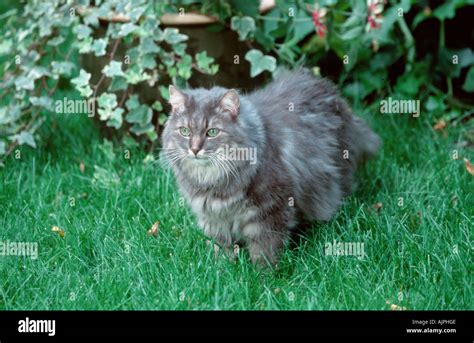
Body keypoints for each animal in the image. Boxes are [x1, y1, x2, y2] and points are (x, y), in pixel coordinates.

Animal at [161, 68, 380, 266]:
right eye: (184, 131)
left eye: (212, 132)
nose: (194, 149)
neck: (214, 182)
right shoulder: (214, 219)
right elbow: (221, 249)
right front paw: (221, 271)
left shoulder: (269, 212)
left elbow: (265, 251)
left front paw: (263, 277)